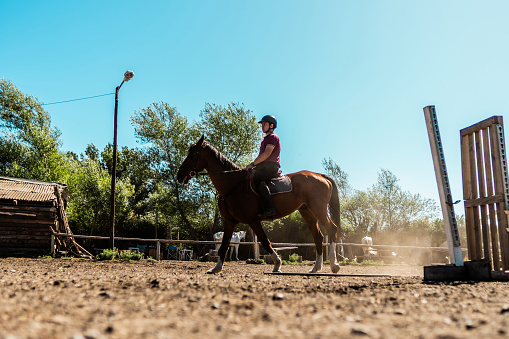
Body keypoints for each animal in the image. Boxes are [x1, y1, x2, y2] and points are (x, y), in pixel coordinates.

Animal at [176, 135, 342, 274]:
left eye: (192, 155)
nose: (180, 176)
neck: (233, 185)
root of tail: (319, 175)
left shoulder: (253, 220)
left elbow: (265, 241)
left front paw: (277, 264)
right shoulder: (230, 221)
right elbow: (224, 245)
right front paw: (216, 268)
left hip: (318, 209)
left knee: (332, 229)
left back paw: (334, 265)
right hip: (307, 211)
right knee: (318, 236)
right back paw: (316, 267)